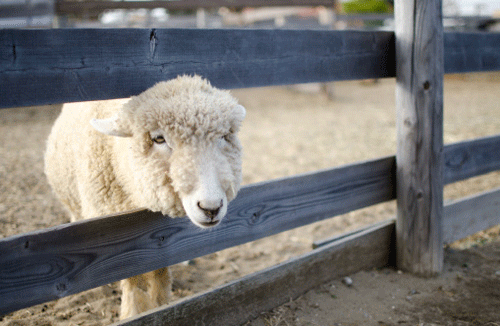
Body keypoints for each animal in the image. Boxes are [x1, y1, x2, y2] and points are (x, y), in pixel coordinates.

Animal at [43, 75, 246, 320]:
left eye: (224, 136)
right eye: (158, 139)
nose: (211, 207)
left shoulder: (159, 237)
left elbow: (160, 269)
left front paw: (160, 305)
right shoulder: (118, 234)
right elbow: (133, 278)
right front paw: (133, 312)